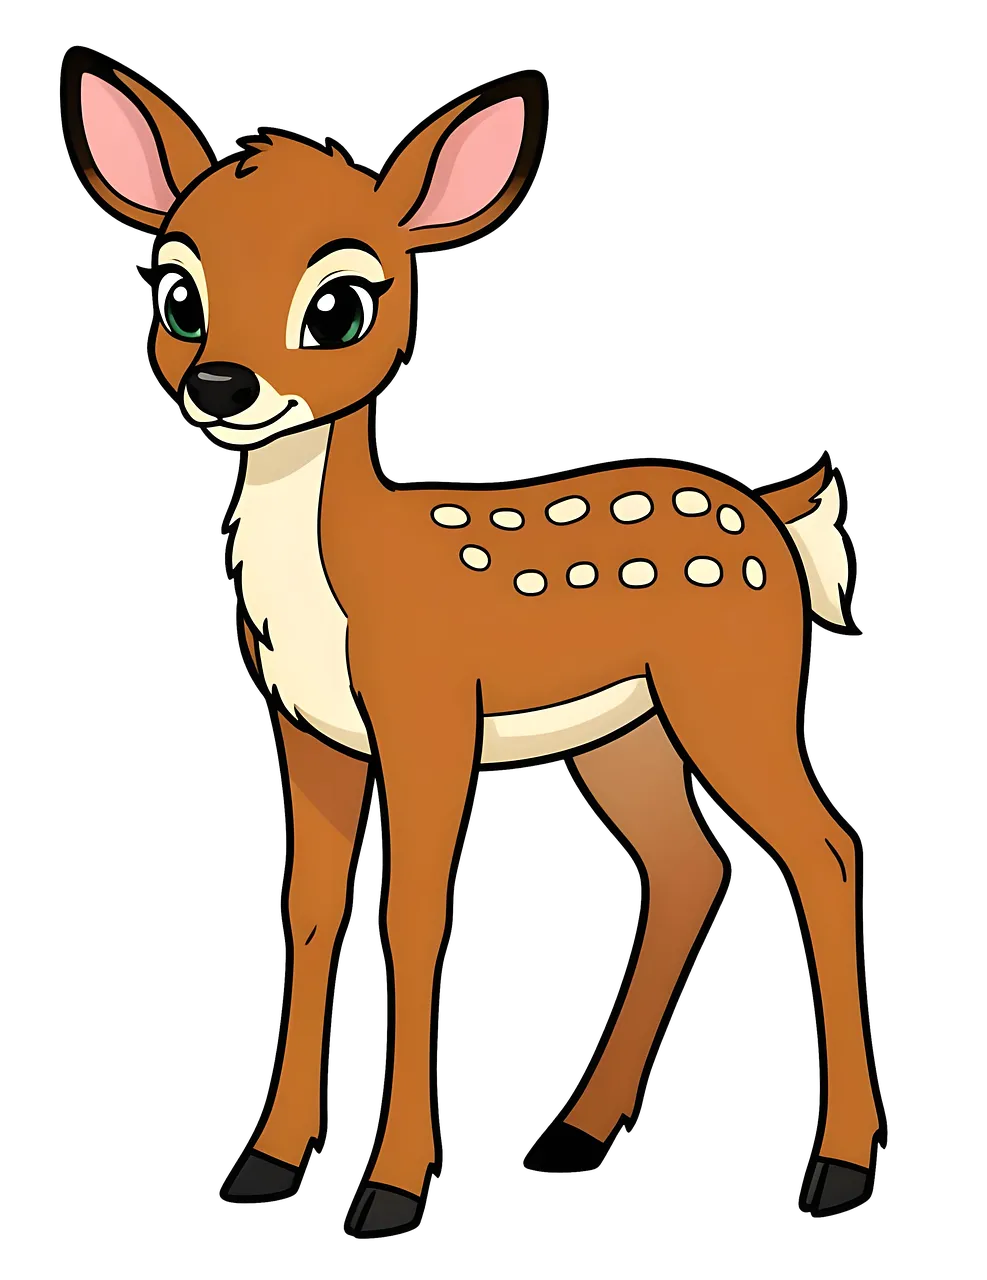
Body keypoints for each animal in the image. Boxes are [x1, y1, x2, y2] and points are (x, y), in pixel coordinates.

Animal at [60, 47, 886, 1235]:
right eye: (179, 293)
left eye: (341, 304)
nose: (221, 385)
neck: (341, 586)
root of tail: (778, 516)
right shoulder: (309, 729)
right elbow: (309, 909)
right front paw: (267, 1159)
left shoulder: (430, 712)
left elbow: (413, 915)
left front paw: (390, 1185)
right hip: (625, 732)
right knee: (687, 864)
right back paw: (577, 1130)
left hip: (735, 690)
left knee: (822, 847)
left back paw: (839, 1165)